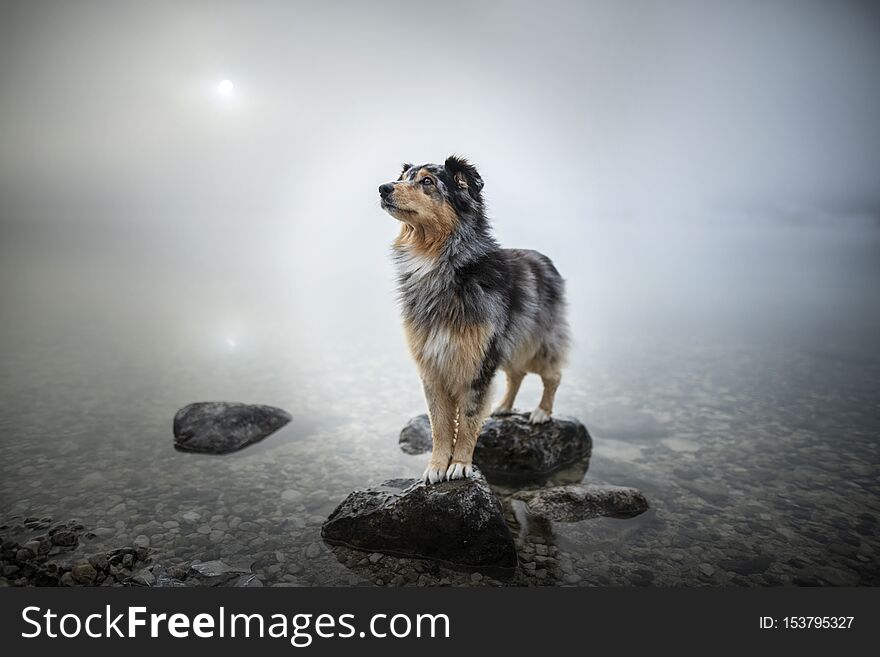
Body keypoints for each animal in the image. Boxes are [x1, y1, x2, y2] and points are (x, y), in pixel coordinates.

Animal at [378, 154, 572, 482]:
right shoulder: (432, 366)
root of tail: (545, 259)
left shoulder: (477, 363)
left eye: (427, 181)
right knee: (516, 374)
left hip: (537, 341)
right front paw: (436, 467)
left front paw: (460, 465)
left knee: (552, 375)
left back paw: (542, 412)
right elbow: (440, 424)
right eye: (403, 177)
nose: (383, 188)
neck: (442, 263)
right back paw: (504, 406)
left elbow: (468, 420)